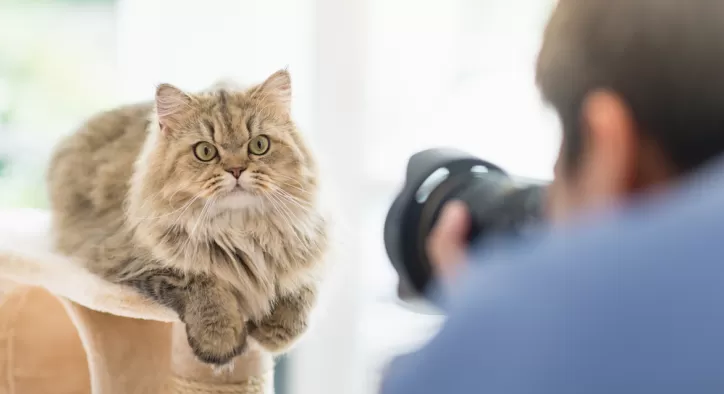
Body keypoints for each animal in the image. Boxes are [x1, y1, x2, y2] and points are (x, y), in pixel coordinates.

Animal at [45, 68, 328, 366]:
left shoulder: (313, 249)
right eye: (205, 151)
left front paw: (273, 335)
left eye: (259, 145)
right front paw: (220, 342)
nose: (236, 170)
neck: (239, 231)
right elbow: (203, 286)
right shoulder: (133, 260)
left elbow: (300, 293)